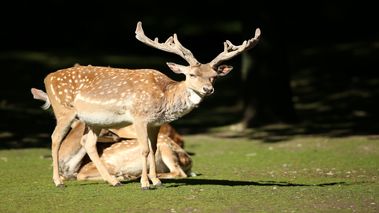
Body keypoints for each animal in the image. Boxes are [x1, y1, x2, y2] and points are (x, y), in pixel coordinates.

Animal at [34, 20, 262, 189]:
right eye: (191, 74)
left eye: (214, 76)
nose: (208, 89)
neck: (164, 97)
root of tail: (47, 78)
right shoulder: (139, 117)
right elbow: (144, 149)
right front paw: (145, 183)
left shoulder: (155, 123)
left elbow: (153, 149)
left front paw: (156, 180)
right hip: (64, 110)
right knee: (55, 138)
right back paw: (59, 182)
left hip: (94, 122)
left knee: (87, 143)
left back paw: (114, 181)